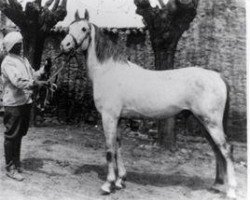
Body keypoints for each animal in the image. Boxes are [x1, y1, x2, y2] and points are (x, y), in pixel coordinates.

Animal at [60, 9, 236, 198]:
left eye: (84, 29)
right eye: (70, 26)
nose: (64, 45)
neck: (109, 71)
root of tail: (217, 76)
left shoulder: (108, 117)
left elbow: (109, 149)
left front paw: (108, 185)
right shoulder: (118, 118)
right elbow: (118, 147)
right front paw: (120, 181)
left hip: (211, 122)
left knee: (226, 149)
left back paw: (231, 190)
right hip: (203, 122)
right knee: (217, 150)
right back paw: (216, 185)